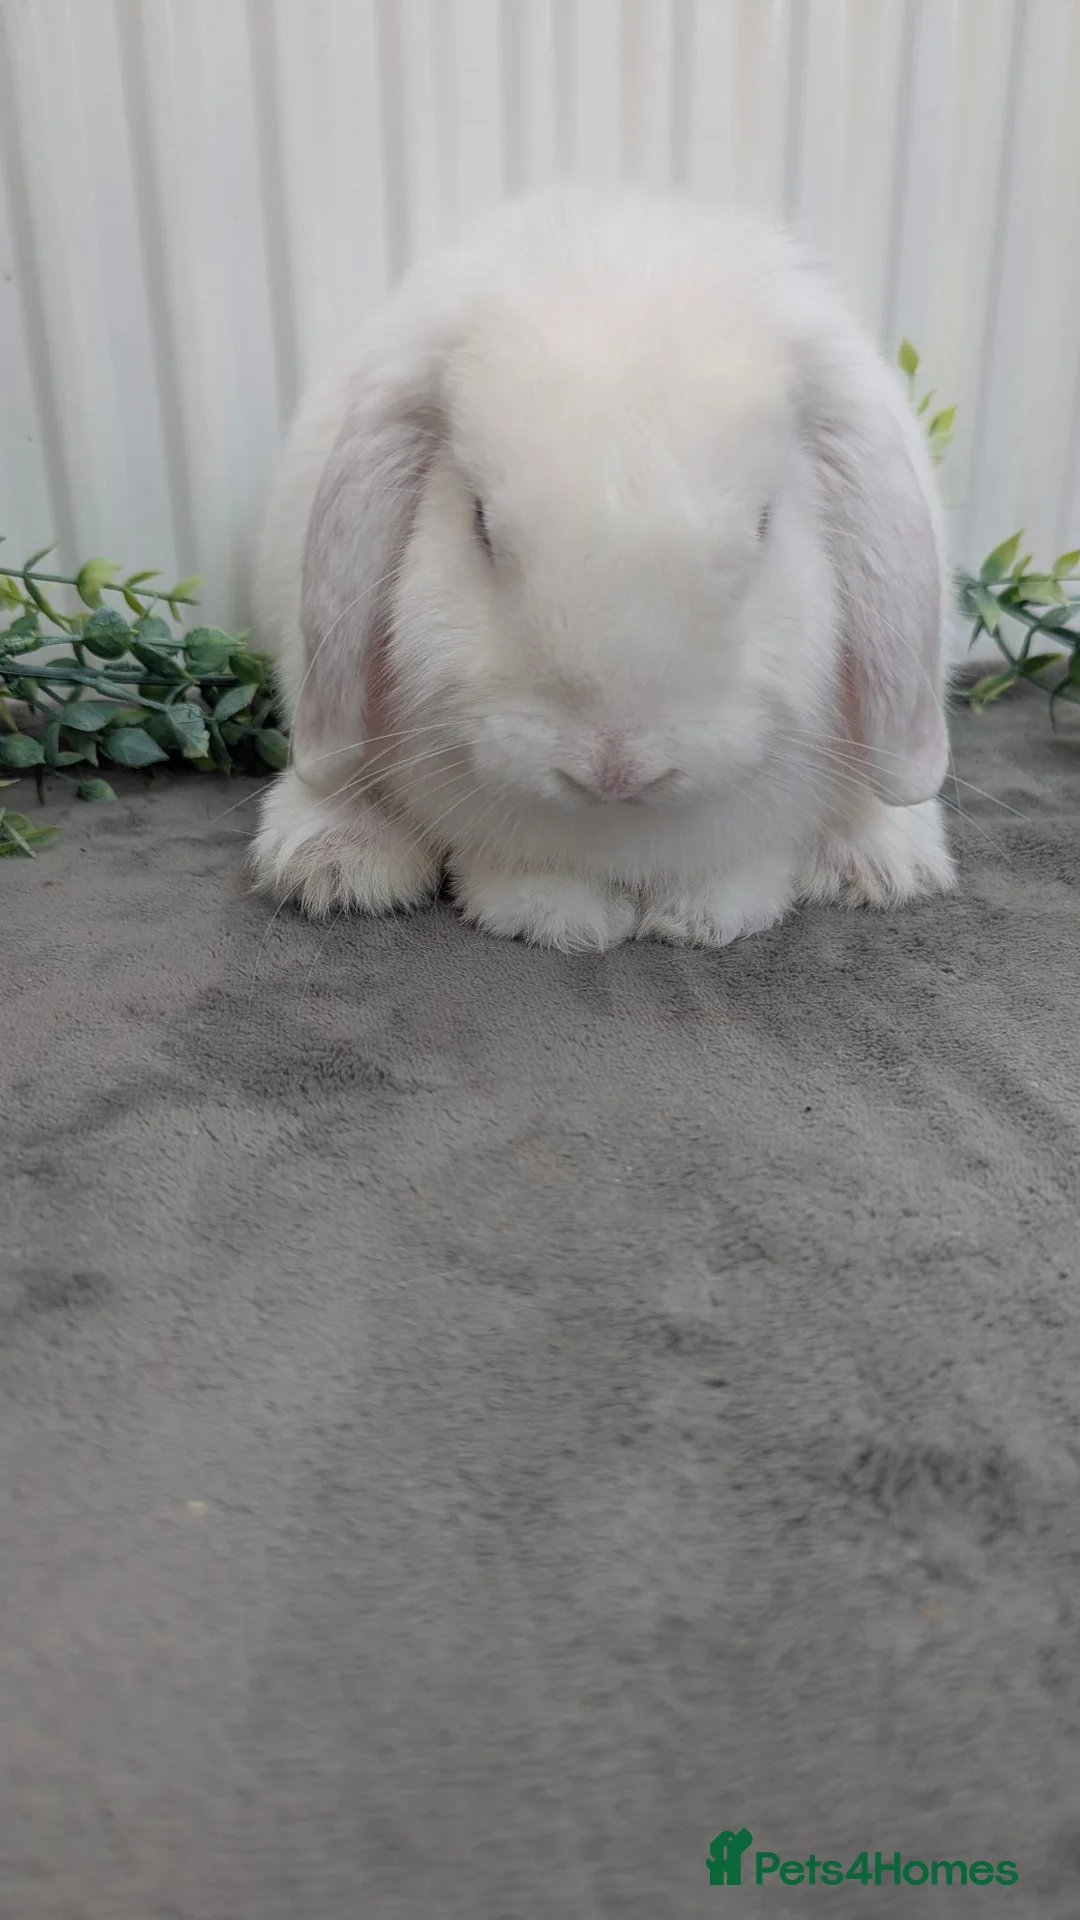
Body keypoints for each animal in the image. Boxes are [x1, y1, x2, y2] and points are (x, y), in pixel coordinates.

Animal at [250, 188, 955, 952]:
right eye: (480, 524)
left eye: (764, 525)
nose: (615, 767)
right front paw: (560, 917)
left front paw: (702, 917)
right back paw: (335, 864)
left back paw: (880, 864)